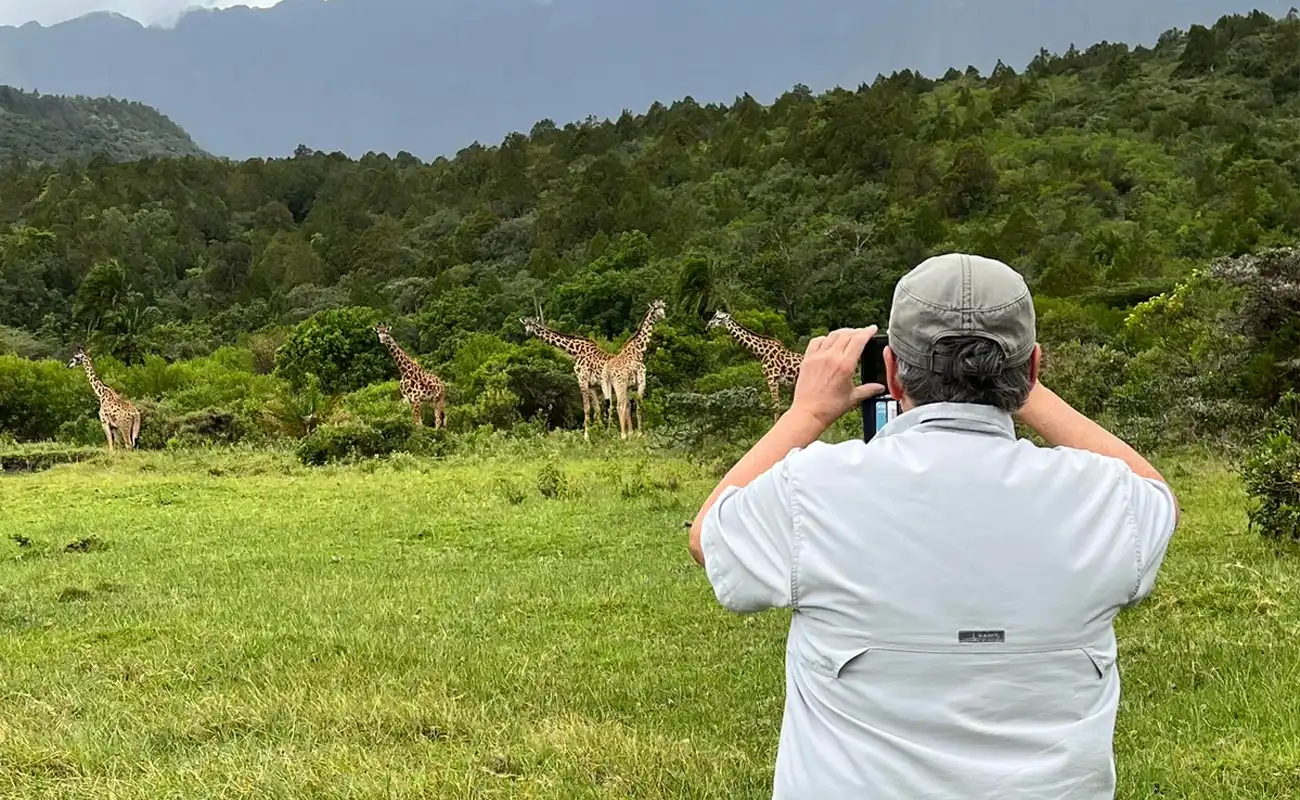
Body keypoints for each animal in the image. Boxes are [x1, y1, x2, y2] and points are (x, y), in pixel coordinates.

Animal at [600, 299, 665, 437]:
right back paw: (622, 435)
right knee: (619, 406)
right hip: (619, 384)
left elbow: (629, 406)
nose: (663, 315)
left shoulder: (629, 386)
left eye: (663, 307)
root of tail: (608, 372)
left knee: (610, 405)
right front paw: (639, 433)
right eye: (656, 309)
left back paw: (609, 433)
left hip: (606, 384)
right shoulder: (641, 381)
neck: (638, 351)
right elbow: (638, 405)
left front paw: (631, 432)